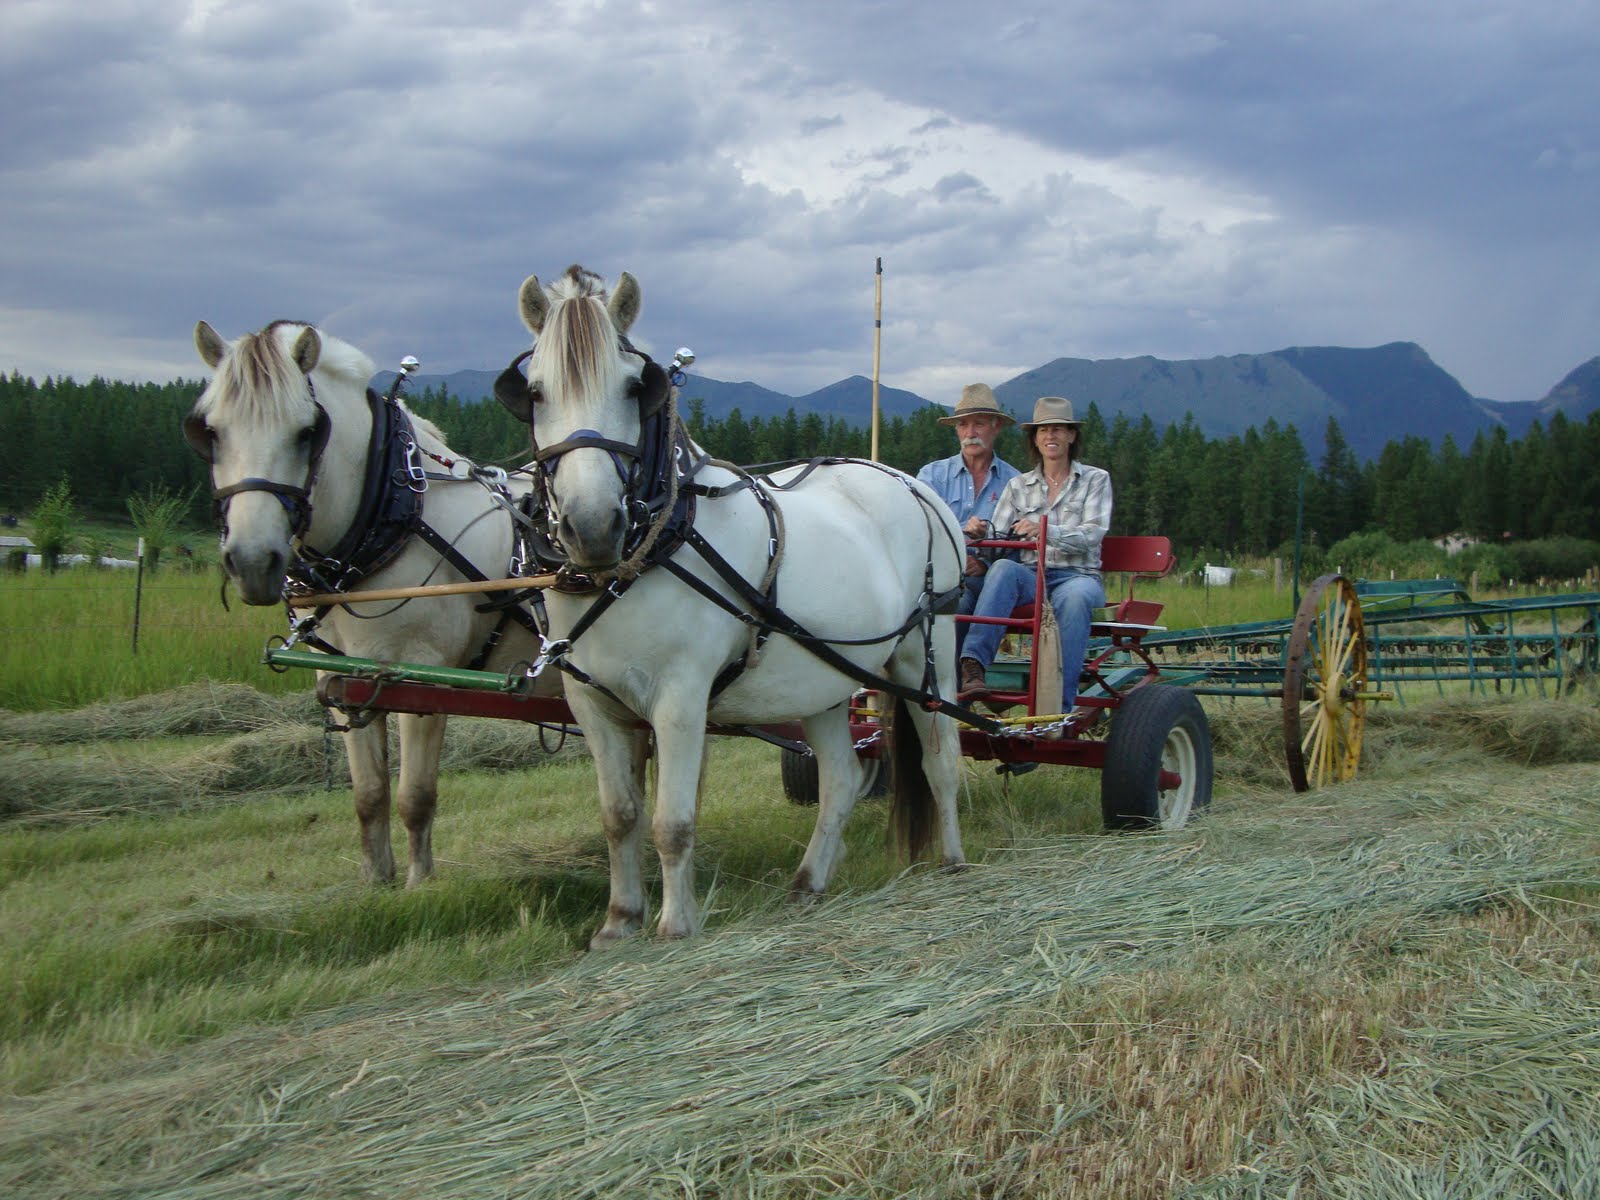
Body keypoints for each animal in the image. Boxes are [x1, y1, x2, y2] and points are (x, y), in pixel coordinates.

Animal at [186, 319, 556, 886]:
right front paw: (375, 881)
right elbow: (369, 794)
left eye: (307, 431)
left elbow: (415, 796)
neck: (393, 518)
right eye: (210, 431)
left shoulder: (424, 675)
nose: (251, 561)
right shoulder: (346, 676)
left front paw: (421, 885)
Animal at [497, 265, 969, 944]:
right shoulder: (592, 703)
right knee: (842, 779)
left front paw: (675, 925)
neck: (642, 553)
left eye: (635, 387)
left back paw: (953, 861)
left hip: (925, 657)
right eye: (533, 393)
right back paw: (807, 883)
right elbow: (620, 815)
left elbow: (672, 820)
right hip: (824, 679)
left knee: (940, 761)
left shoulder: (680, 696)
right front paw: (618, 922)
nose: (591, 526)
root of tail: (912, 483)